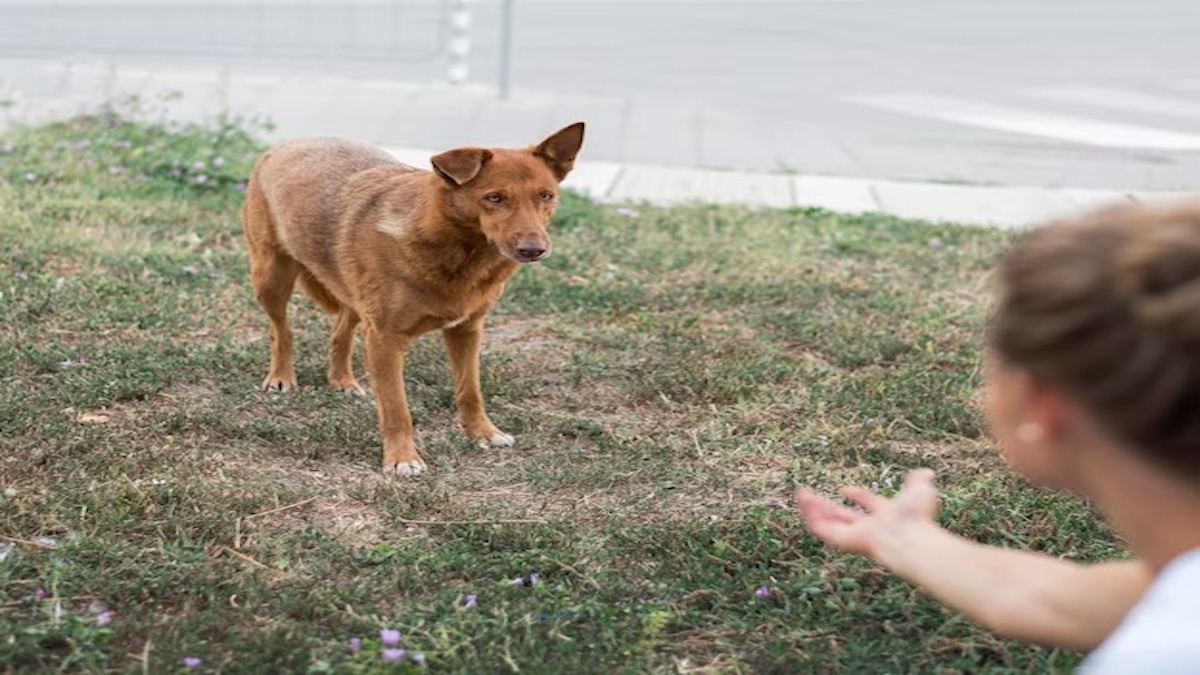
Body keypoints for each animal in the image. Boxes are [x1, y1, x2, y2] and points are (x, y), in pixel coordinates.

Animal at [242, 123, 585, 475]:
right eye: (495, 198)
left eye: (546, 195)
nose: (534, 250)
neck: (458, 250)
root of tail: (291, 142)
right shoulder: (384, 340)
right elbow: (396, 407)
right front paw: (402, 458)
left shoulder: (467, 331)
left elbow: (470, 391)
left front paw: (483, 433)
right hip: (270, 278)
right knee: (281, 330)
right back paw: (281, 376)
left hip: (351, 294)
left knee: (341, 328)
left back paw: (342, 379)